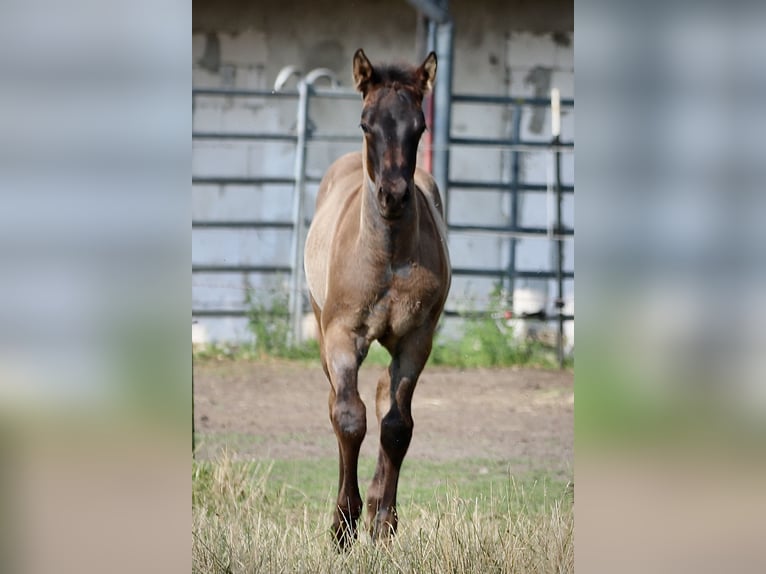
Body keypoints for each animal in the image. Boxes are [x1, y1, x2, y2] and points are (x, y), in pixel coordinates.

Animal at [304, 50, 452, 548]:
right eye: (366, 123)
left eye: (419, 127)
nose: (393, 195)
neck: (386, 254)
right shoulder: (342, 335)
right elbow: (349, 418)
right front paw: (342, 526)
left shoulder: (415, 341)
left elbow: (397, 426)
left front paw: (382, 521)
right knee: (338, 404)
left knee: (387, 398)